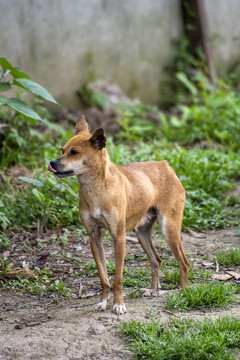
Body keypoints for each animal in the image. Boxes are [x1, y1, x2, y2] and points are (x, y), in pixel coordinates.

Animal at [47, 116, 188, 316]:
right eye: (62, 150)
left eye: (74, 152)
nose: (52, 162)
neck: (96, 189)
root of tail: (165, 165)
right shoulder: (94, 237)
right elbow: (104, 277)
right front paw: (103, 302)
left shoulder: (119, 237)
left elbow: (118, 278)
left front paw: (119, 304)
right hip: (142, 233)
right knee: (156, 260)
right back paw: (153, 290)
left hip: (169, 229)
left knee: (184, 263)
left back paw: (184, 291)